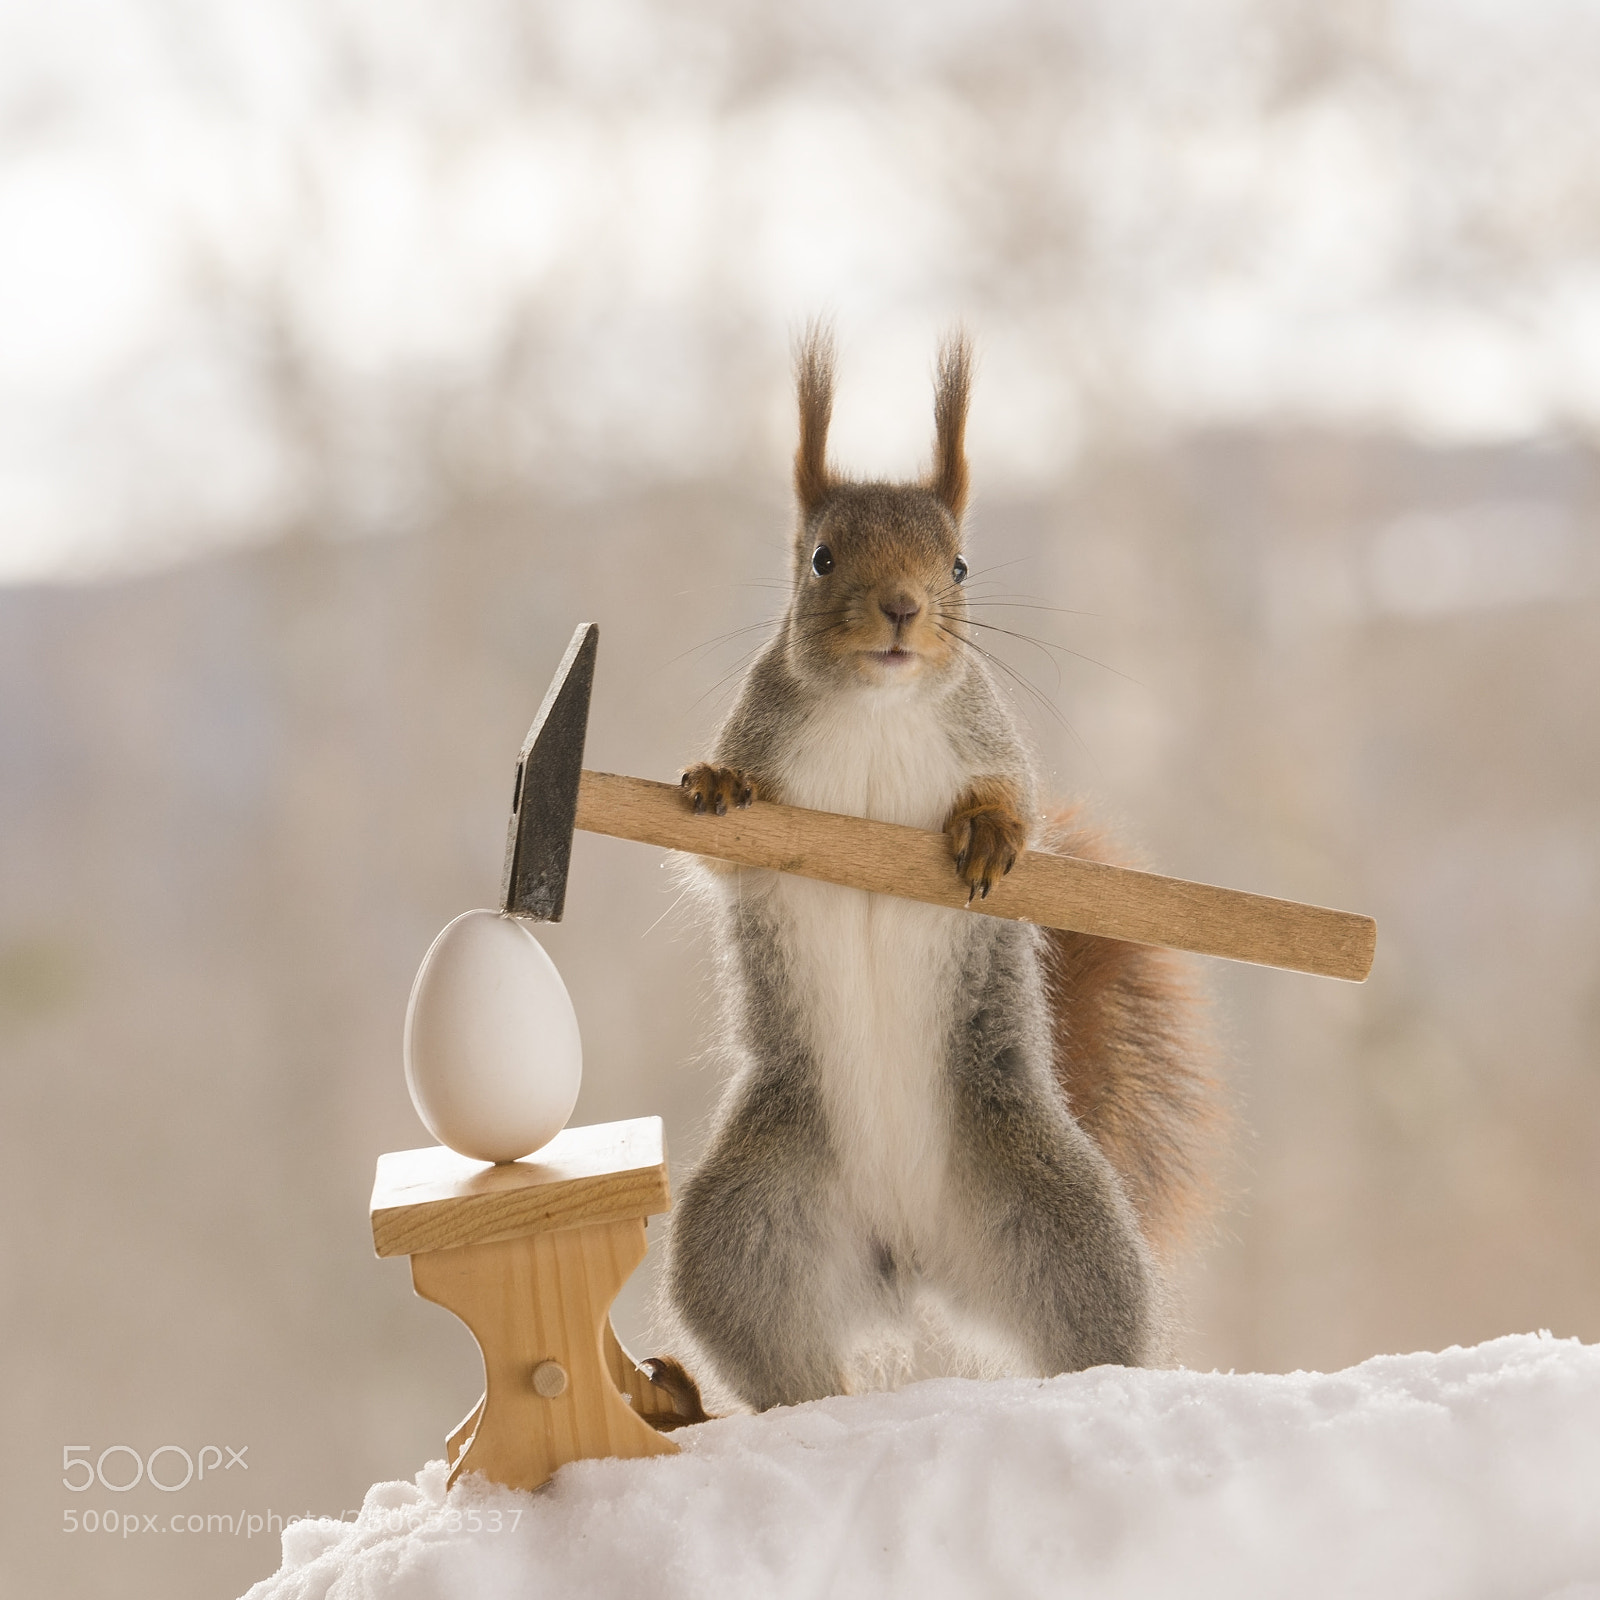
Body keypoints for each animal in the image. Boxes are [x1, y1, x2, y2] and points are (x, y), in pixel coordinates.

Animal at [657, 327, 1221, 1416]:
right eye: (820, 557)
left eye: (958, 562)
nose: (902, 609)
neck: (879, 707)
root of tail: (906, 1257)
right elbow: (718, 854)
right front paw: (716, 784)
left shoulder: (991, 737)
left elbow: (1018, 807)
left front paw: (990, 832)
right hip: (750, 1224)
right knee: (782, 1360)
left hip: (1056, 1221)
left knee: (1093, 1326)